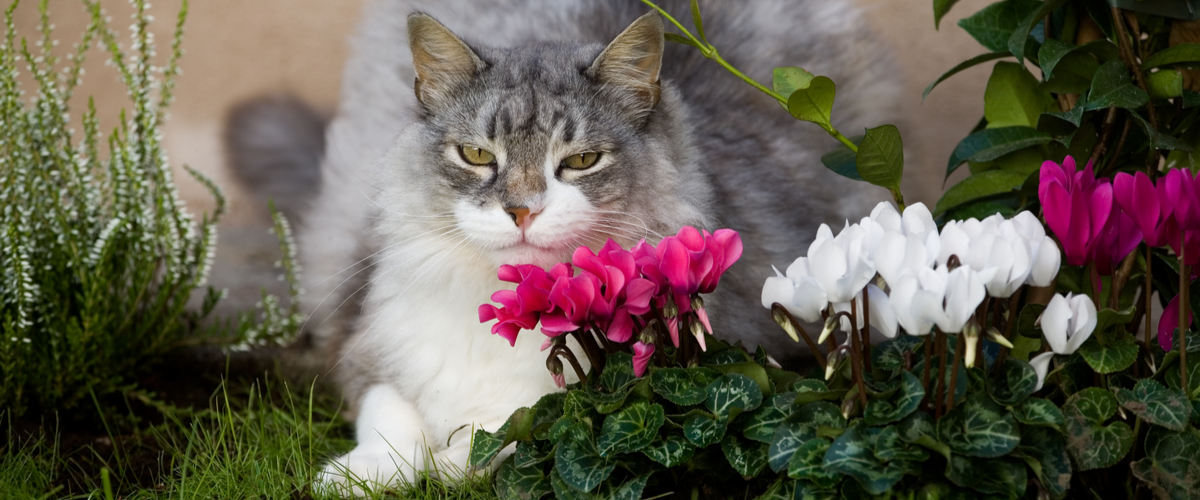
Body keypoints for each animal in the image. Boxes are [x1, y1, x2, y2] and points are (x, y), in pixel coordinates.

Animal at [226, 0, 902, 491]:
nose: (522, 209)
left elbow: (496, 439)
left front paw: (449, 466)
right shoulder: (367, 346)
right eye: (477, 155)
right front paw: (359, 475)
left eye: (579, 162)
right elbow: (390, 419)